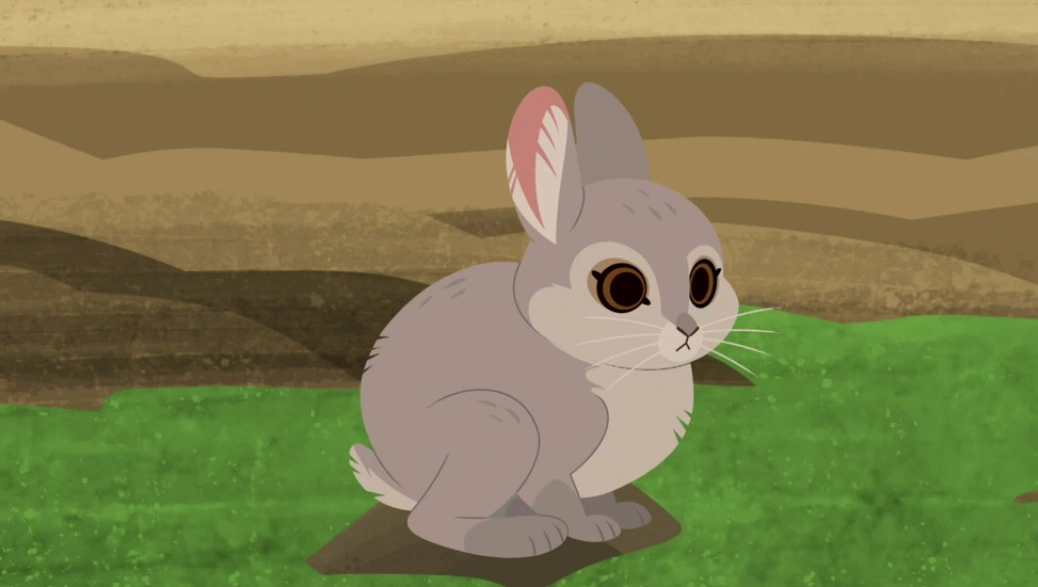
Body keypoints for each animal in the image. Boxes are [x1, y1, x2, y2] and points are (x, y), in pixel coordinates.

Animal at [349, 82, 740, 558]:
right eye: (623, 289)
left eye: (703, 281)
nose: (688, 330)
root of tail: (399, 478)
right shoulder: (552, 458)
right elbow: (559, 496)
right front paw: (593, 529)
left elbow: (596, 496)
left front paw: (624, 516)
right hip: (498, 429)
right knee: (431, 521)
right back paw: (526, 536)